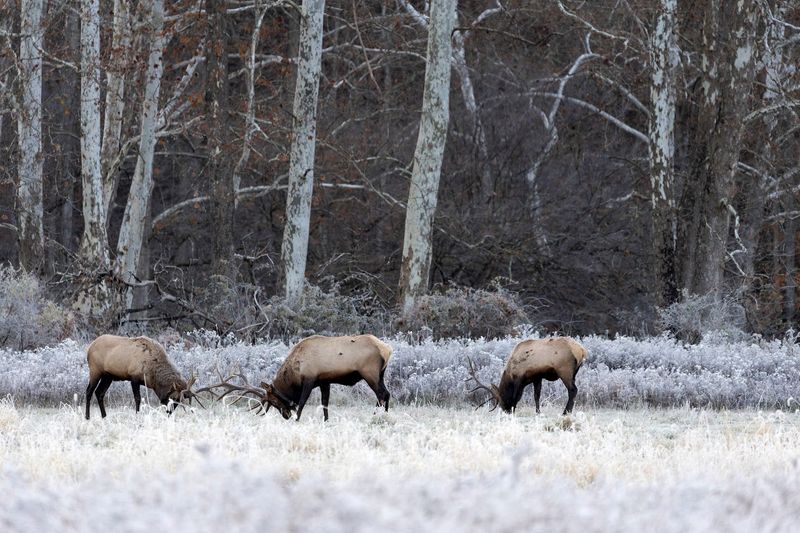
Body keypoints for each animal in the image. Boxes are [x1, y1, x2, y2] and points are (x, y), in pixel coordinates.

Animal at [198, 334, 393, 421]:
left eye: (273, 401)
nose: (285, 416)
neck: (294, 375)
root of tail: (387, 349)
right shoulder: (325, 381)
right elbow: (325, 403)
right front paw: (326, 421)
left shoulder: (310, 379)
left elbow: (302, 403)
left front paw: (297, 420)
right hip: (380, 374)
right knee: (387, 394)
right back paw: (385, 417)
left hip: (369, 373)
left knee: (381, 394)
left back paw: (376, 417)